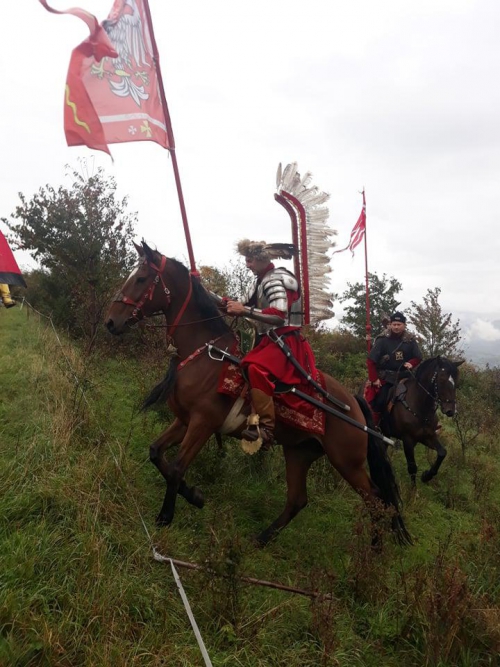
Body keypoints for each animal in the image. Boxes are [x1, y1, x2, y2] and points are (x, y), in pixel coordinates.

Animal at [105, 243, 410, 544]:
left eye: (141, 278)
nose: (110, 322)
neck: (204, 353)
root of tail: (354, 404)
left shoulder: (203, 423)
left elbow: (177, 469)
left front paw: (165, 517)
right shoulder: (184, 421)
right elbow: (157, 454)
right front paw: (194, 496)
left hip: (347, 462)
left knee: (376, 499)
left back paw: (374, 550)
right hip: (299, 452)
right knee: (298, 499)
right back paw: (260, 539)